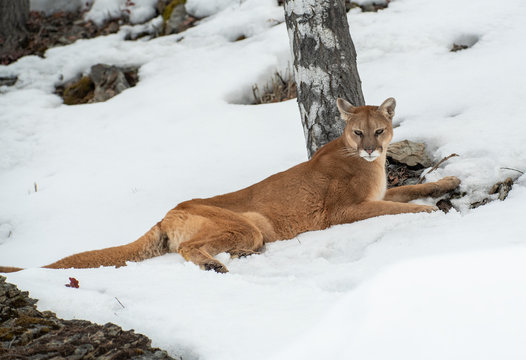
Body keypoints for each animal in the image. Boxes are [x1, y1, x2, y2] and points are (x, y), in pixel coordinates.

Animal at [0, 98, 462, 272]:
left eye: (379, 131)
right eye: (358, 132)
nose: (370, 150)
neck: (369, 166)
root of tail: (169, 211)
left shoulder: (379, 190)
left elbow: (405, 191)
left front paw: (449, 180)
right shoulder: (343, 211)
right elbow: (396, 207)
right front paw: (429, 211)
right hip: (249, 223)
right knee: (188, 248)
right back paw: (216, 264)